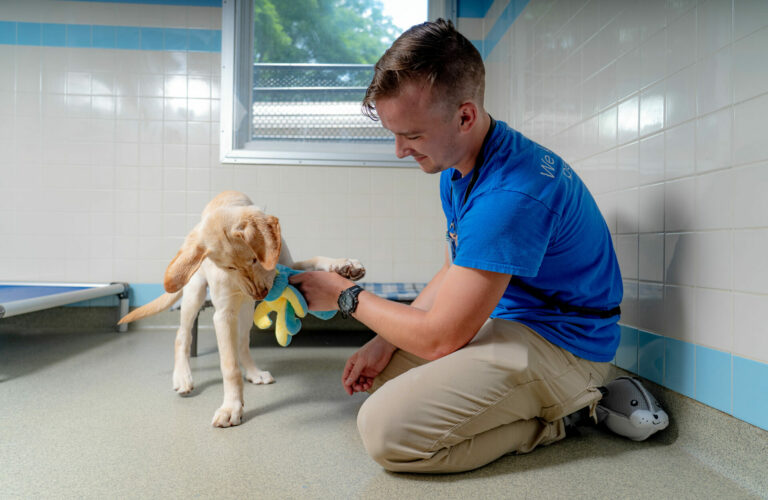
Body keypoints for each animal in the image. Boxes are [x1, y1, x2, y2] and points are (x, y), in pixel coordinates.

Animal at [118, 190, 364, 426]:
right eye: (229, 267)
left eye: (254, 259)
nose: (260, 295)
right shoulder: (223, 315)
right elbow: (230, 367)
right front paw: (231, 408)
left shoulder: (286, 263)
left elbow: (314, 259)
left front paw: (344, 265)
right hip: (195, 293)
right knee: (182, 335)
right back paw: (183, 377)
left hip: (245, 312)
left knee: (243, 343)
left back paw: (254, 372)